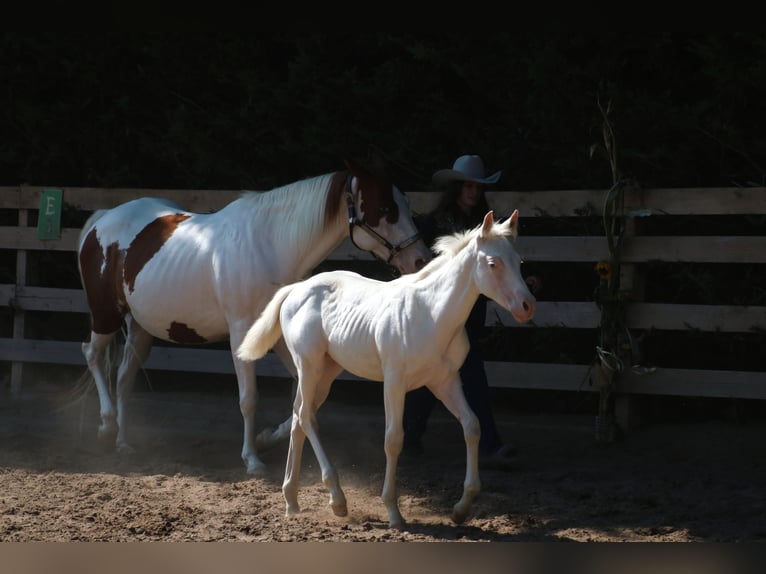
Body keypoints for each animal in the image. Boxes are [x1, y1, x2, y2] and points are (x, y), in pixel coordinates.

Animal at [80, 159, 436, 476]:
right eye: (386, 208)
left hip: (141, 329)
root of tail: (102, 219)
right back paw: (105, 424)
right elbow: (249, 398)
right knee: (92, 354)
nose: (420, 260)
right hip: (105, 316)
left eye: (406, 204)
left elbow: (310, 396)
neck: (269, 247)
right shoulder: (242, 334)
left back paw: (124, 442)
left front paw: (268, 439)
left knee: (124, 377)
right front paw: (252, 459)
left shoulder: (279, 336)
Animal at [237, 212, 536, 532]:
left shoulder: (445, 381)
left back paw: (291, 500)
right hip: (309, 366)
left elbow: (472, 426)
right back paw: (337, 499)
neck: (430, 314)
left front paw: (461, 508)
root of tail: (296, 288)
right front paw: (393, 512)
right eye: (493, 263)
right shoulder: (394, 382)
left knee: (298, 418)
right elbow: (393, 439)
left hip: (326, 373)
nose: (527, 306)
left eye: (518, 261)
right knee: (306, 417)